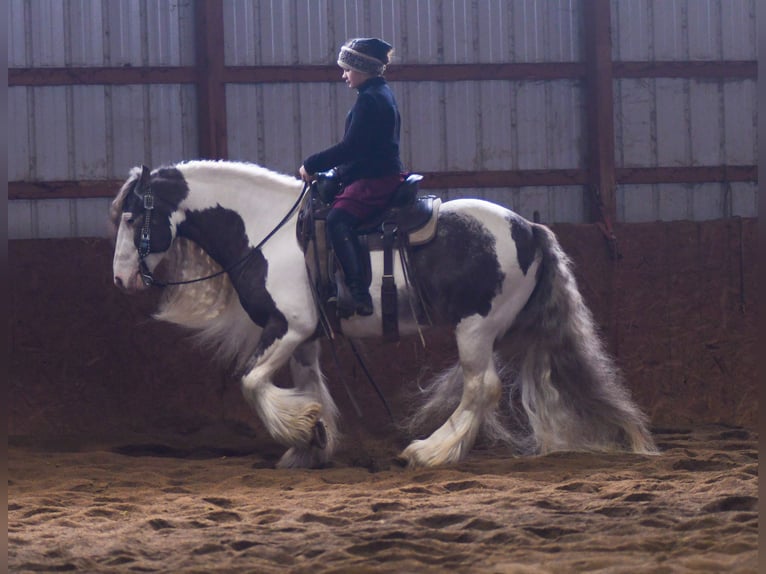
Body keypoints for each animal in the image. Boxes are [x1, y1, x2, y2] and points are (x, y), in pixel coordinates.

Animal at [110, 160, 657, 469]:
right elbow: (307, 386)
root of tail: (529, 229)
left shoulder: (287, 327)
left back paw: (430, 452)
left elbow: (250, 382)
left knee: (481, 388)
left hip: (475, 327)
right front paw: (311, 440)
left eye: (134, 217)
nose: (121, 279)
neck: (269, 229)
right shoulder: (306, 338)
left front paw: (298, 431)